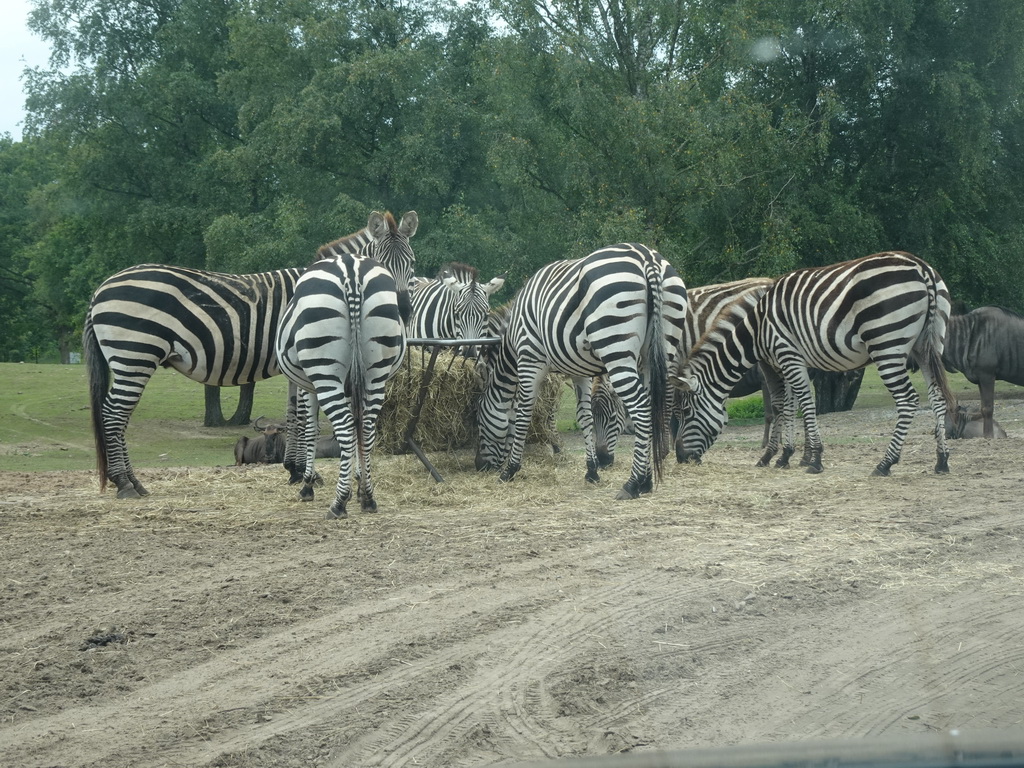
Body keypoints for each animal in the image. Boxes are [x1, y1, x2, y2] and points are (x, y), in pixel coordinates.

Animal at [473, 243, 688, 501]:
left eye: (479, 422)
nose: (478, 466)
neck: (512, 344)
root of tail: (647, 257)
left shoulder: (530, 360)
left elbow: (522, 414)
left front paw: (510, 470)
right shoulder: (580, 371)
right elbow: (585, 416)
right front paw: (592, 471)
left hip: (615, 346)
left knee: (641, 407)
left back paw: (633, 483)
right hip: (659, 348)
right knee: (655, 404)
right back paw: (645, 481)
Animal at [675, 252, 954, 475]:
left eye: (687, 412)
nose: (680, 458)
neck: (757, 327)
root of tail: (922, 267)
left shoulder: (786, 355)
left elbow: (803, 403)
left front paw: (813, 458)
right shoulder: (785, 362)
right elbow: (788, 406)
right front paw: (786, 456)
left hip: (887, 344)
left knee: (907, 399)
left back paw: (885, 463)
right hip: (927, 346)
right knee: (937, 397)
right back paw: (941, 461)